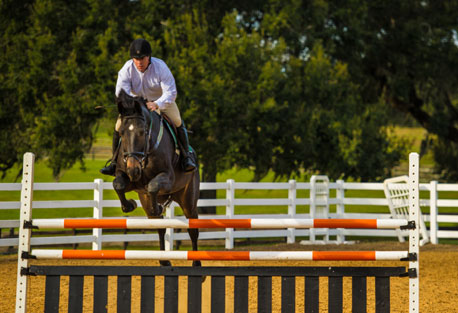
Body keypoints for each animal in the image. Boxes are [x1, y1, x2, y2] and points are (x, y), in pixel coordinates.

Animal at [112, 89, 199, 266]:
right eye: (121, 133)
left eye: (143, 132)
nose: (133, 170)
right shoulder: (130, 180)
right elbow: (118, 184)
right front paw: (129, 205)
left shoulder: (167, 177)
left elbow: (153, 185)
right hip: (147, 200)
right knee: (159, 225)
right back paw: (164, 261)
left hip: (188, 201)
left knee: (193, 229)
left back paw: (196, 264)